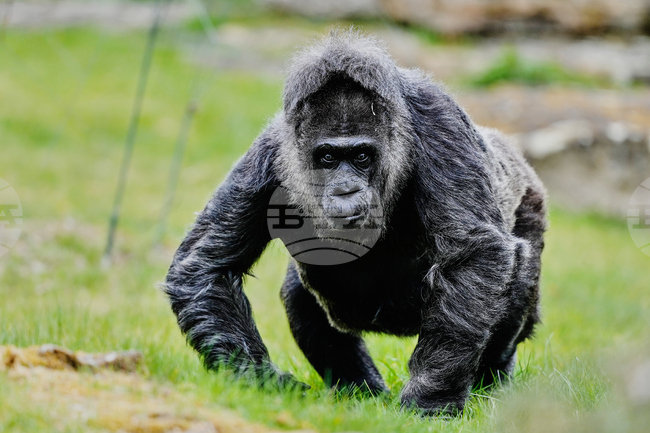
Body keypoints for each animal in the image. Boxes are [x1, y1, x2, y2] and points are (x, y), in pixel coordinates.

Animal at [164, 29, 547, 415]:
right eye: (328, 158)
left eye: (362, 156)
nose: (346, 190)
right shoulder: (271, 154)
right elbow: (205, 267)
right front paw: (263, 381)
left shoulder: (440, 124)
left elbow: (474, 253)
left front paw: (430, 399)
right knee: (299, 298)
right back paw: (361, 392)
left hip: (530, 202)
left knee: (515, 278)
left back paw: (491, 382)